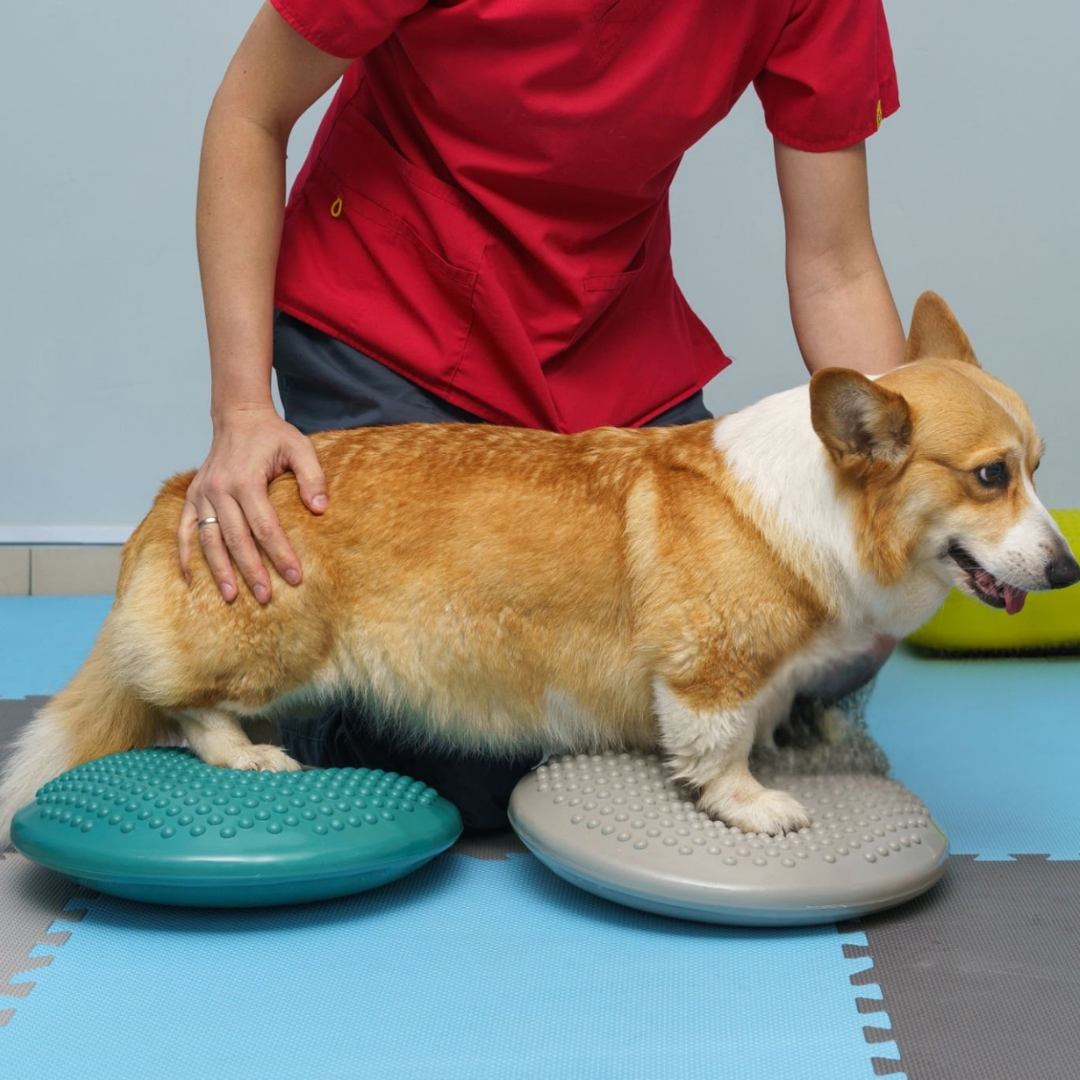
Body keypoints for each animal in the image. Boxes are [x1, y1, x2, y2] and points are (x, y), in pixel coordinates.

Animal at [2, 292, 1076, 841]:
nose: (1067, 570)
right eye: (989, 476)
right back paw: (247, 752)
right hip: (276, 642)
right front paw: (754, 803)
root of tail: (181, 490)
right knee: (185, 704)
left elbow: (767, 721)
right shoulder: (709, 674)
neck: (821, 507)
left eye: (1038, 465)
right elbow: (718, 750)